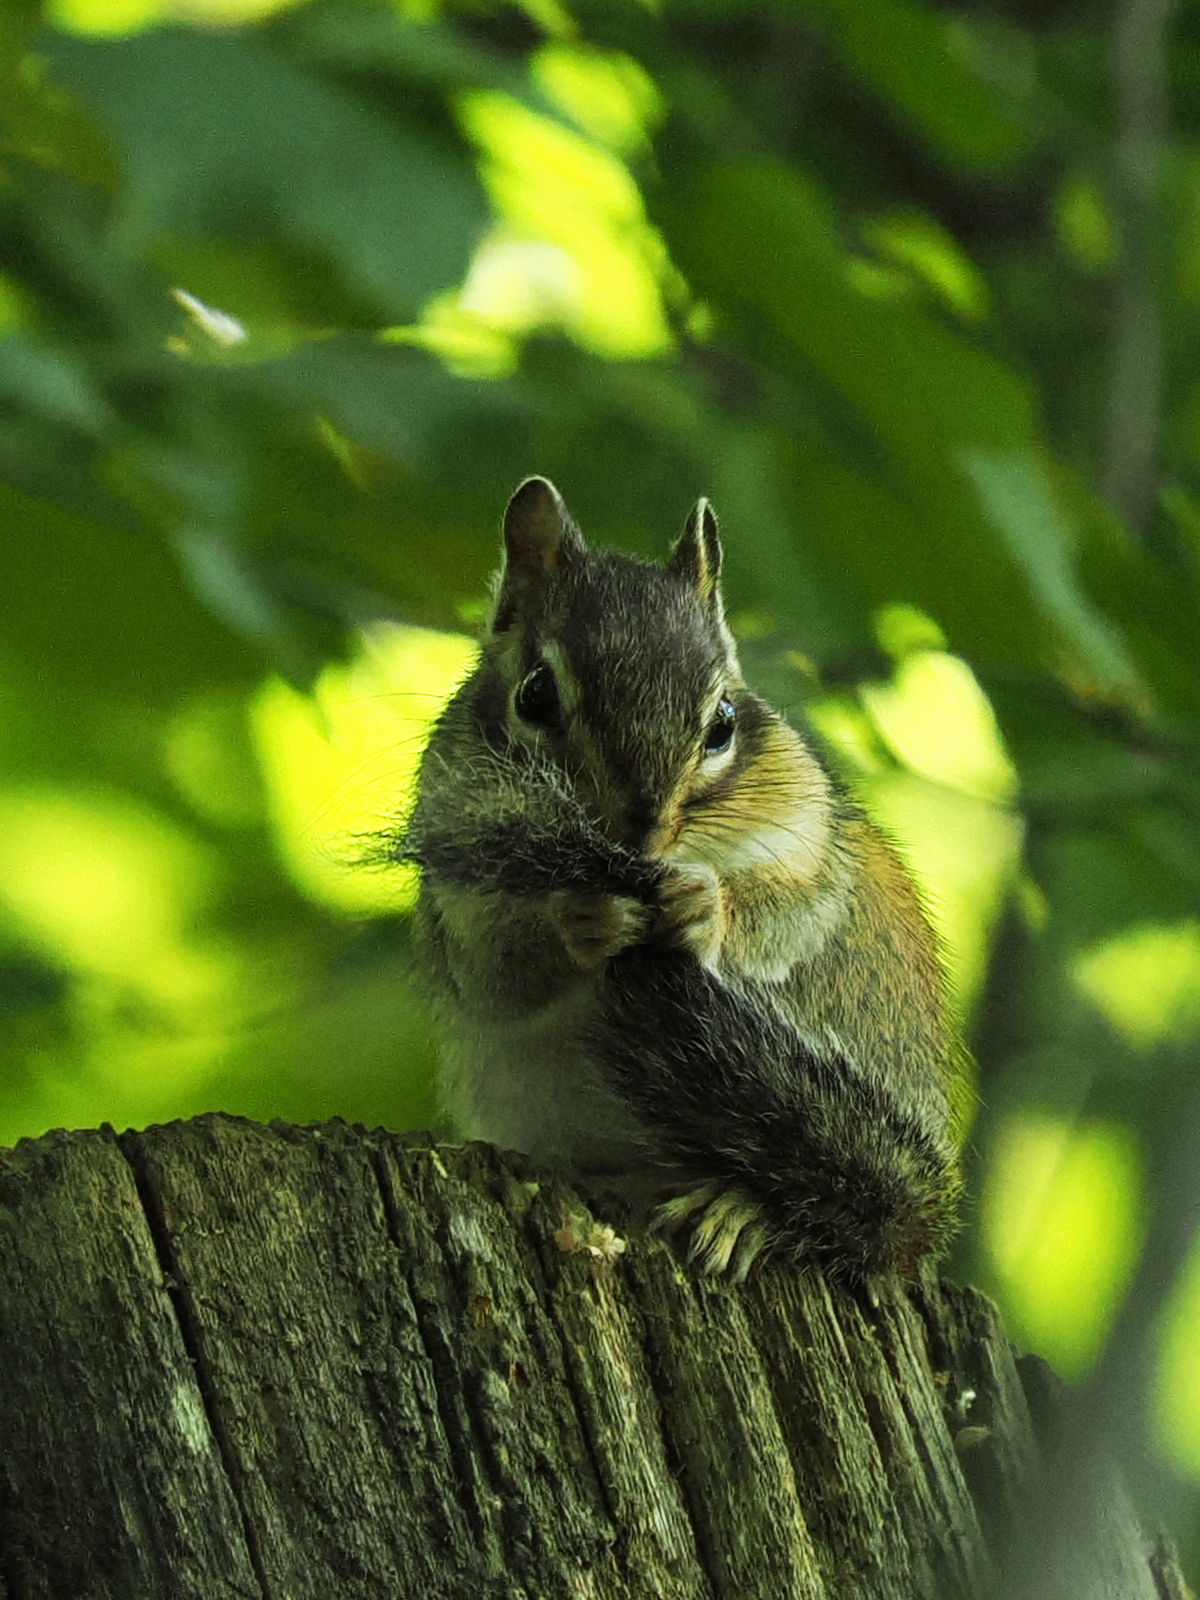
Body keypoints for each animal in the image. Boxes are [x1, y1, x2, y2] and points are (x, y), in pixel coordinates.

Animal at [399, 477, 963, 1283]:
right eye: (534, 695)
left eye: (724, 720)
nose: (641, 832)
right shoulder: (458, 885)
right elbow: (496, 974)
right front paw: (579, 918)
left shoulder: (814, 841)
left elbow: (792, 910)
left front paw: (705, 905)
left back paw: (736, 1212)